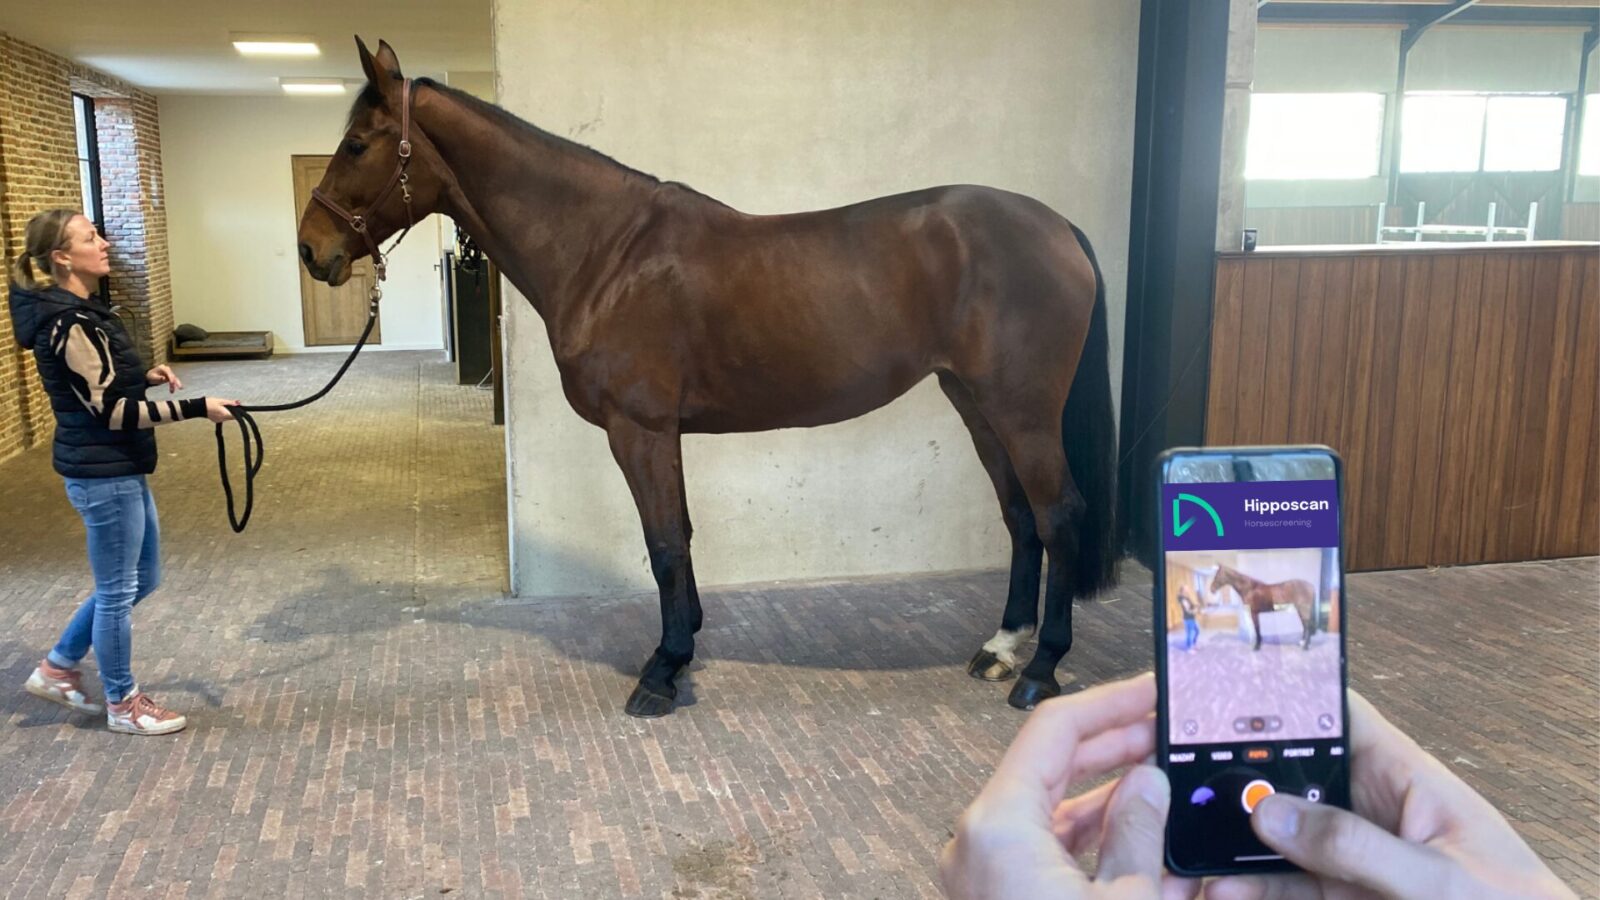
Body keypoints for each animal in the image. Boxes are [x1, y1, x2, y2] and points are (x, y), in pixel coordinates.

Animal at [295, 39, 1119, 718]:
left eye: (358, 143)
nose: (311, 250)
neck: (607, 253)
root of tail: (1057, 227)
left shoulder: (640, 429)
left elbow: (663, 543)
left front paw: (662, 671)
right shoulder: (664, 433)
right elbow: (682, 534)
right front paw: (684, 641)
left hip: (1021, 411)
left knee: (1059, 515)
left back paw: (1040, 670)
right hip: (975, 403)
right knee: (1020, 517)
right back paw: (1001, 648)